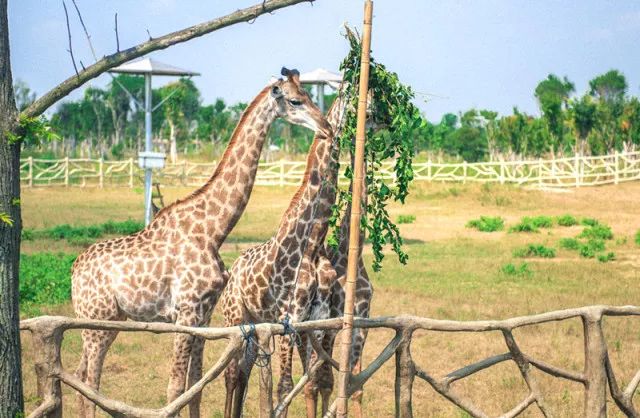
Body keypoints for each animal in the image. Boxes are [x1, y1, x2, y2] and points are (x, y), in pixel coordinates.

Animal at [70, 68, 330, 418]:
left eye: (310, 95)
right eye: (295, 100)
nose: (326, 127)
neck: (213, 231)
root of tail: (73, 271)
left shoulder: (203, 315)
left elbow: (196, 385)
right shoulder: (186, 312)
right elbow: (175, 388)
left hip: (107, 320)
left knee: (80, 373)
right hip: (96, 322)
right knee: (91, 380)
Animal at [220, 84, 344, 418]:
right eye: (295, 101)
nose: (327, 128)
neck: (312, 246)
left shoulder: (317, 320)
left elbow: (314, 380)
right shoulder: (289, 321)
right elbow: (286, 386)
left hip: (255, 326)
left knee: (244, 370)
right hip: (234, 318)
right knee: (231, 372)